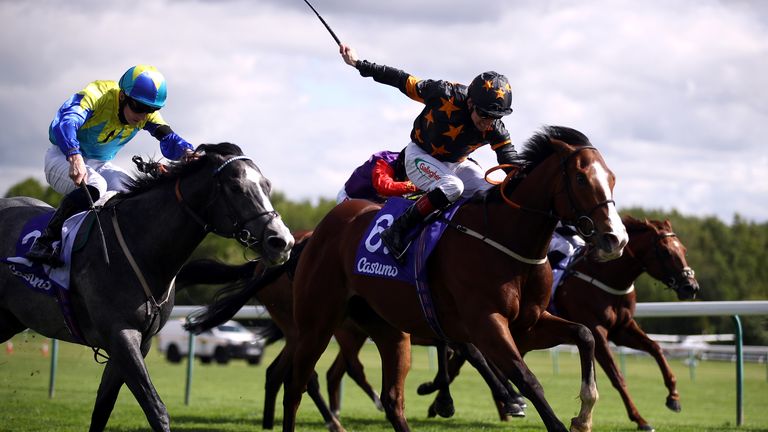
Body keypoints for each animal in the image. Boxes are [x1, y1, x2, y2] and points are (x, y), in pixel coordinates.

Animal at [0, 143, 294, 432]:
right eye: (235, 187)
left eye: (267, 185)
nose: (282, 241)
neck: (138, 246)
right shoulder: (121, 334)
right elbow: (156, 410)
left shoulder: (140, 342)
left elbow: (103, 408)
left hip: (10, 320)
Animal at [282, 125, 632, 432]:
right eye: (581, 178)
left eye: (613, 178)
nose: (615, 238)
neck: (506, 238)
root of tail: (321, 228)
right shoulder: (487, 324)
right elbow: (527, 379)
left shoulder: (528, 325)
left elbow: (584, 334)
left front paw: (584, 415)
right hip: (316, 323)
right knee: (295, 386)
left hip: (388, 329)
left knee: (393, 399)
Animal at [552, 214, 704, 430]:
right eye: (665, 252)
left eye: (683, 250)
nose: (691, 287)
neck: (604, 275)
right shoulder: (596, 331)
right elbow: (617, 377)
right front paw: (640, 419)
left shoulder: (622, 328)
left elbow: (655, 348)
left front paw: (673, 397)